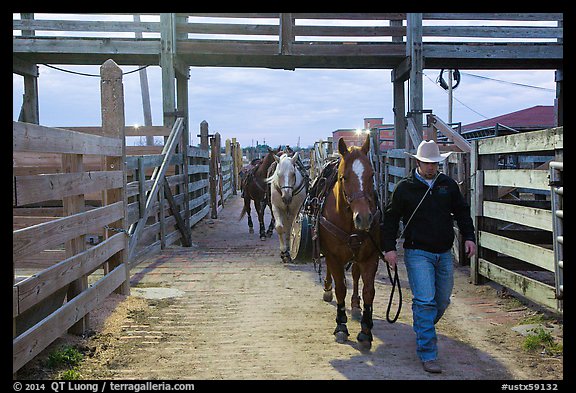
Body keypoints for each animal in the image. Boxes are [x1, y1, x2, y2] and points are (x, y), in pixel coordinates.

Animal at [318, 135, 380, 350]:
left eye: (371, 175)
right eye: (344, 177)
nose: (364, 217)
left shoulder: (370, 256)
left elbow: (369, 290)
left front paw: (366, 331)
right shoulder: (333, 256)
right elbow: (340, 289)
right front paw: (341, 327)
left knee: (354, 273)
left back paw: (355, 305)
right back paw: (327, 290)